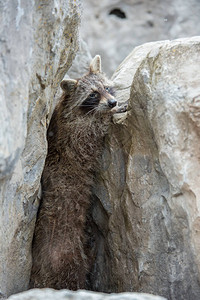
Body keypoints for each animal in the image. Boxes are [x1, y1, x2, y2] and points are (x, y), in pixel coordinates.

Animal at [29, 55, 126, 290]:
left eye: (107, 88)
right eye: (93, 95)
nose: (112, 103)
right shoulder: (78, 136)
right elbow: (96, 128)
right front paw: (110, 113)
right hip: (69, 258)